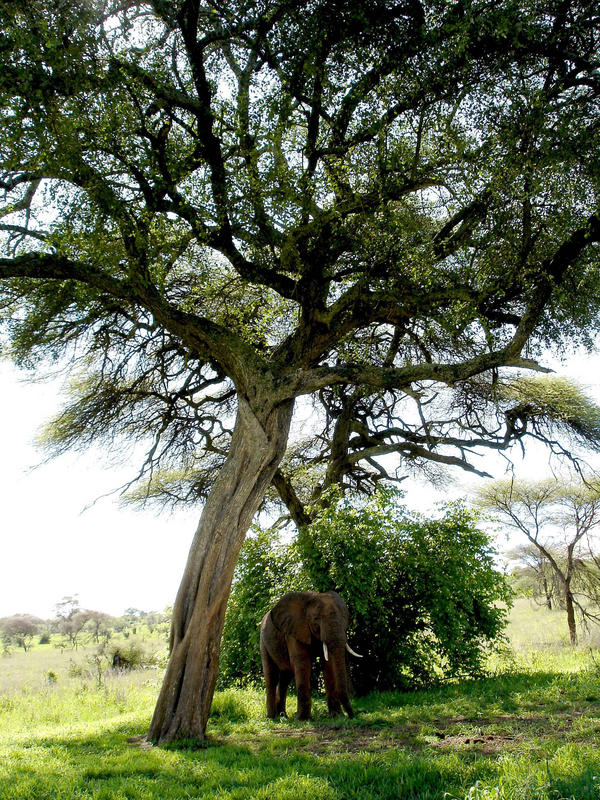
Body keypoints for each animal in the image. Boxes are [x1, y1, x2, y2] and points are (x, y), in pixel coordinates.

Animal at [258, 592, 360, 720]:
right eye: (316, 620)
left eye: (345, 619)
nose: (352, 716)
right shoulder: (293, 632)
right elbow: (302, 662)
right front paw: (303, 719)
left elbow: (328, 663)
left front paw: (336, 716)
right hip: (263, 642)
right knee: (272, 676)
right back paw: (272, 718)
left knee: (285, 677)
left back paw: (283, 716)